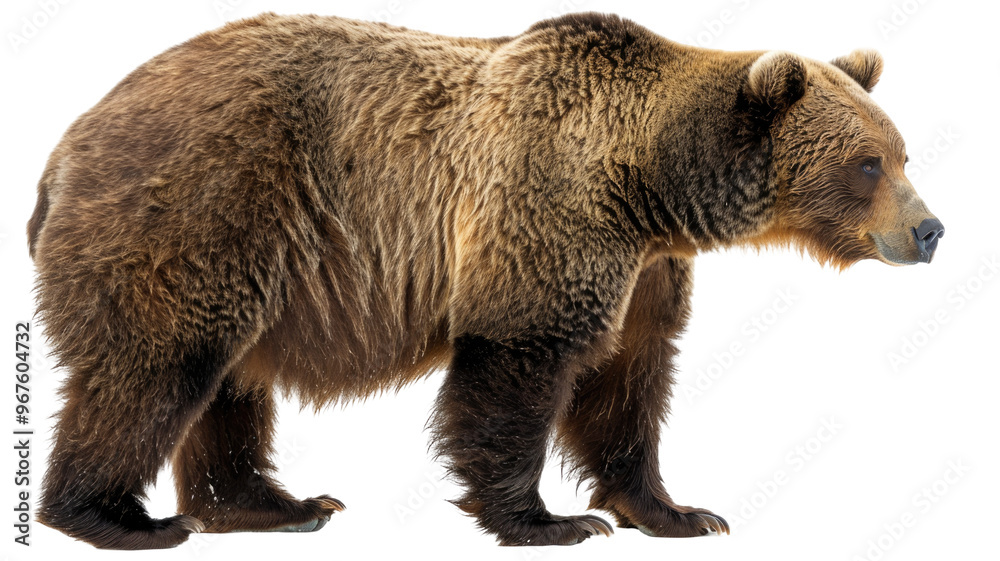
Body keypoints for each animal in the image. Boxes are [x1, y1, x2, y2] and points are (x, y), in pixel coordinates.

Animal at [27, 12, 943, 550]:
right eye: (868, 163)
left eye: (902, 153)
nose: (931, 230)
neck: (650, 184)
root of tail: (65, 145)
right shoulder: (547, 213)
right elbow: (517, 366)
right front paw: (552, 519)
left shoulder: (647, 267)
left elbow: (630, 379)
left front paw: (680, 511)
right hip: (201, 208)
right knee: (155, 369)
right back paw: (119, 516)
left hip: (250, 256)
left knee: (227, 385)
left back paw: (277, 504)